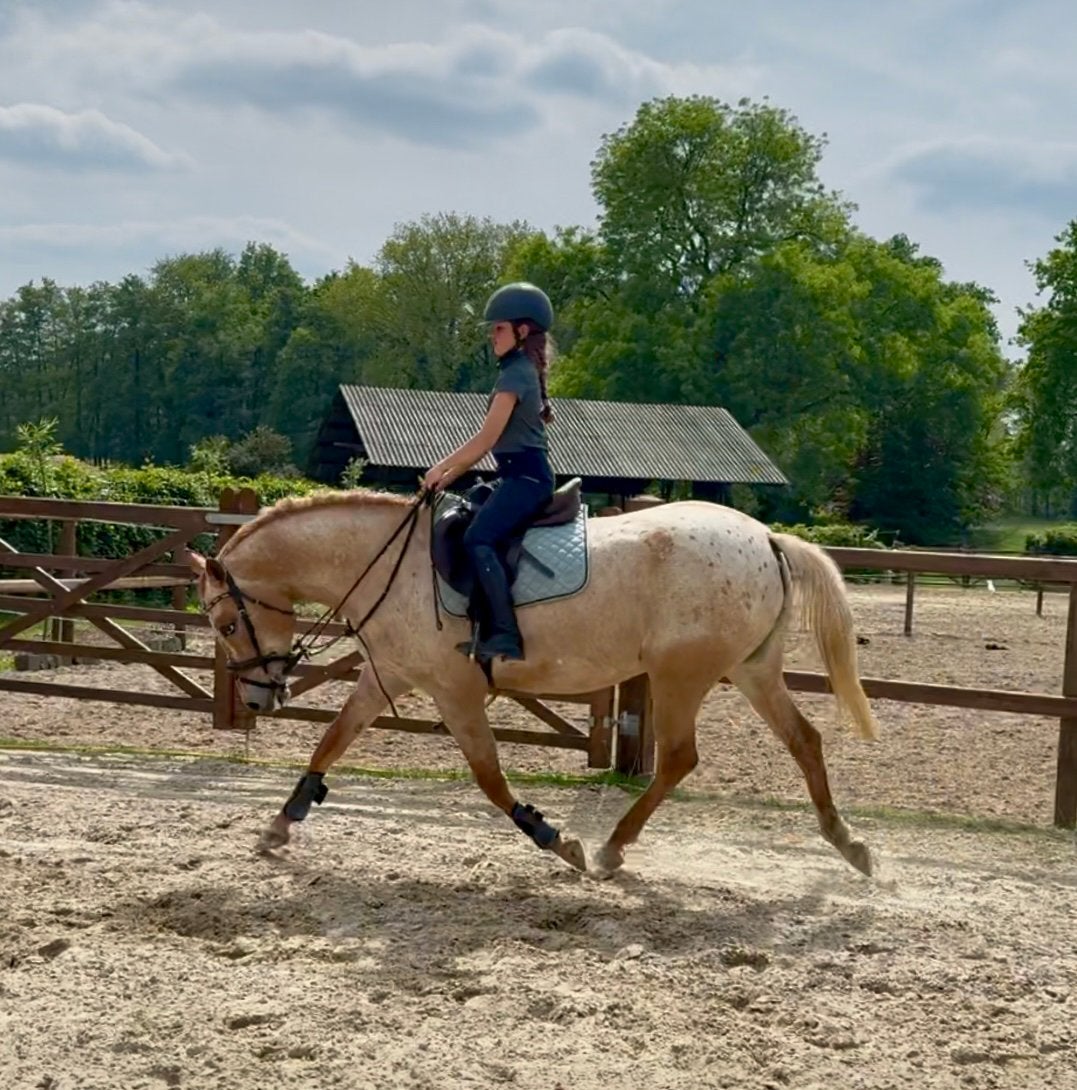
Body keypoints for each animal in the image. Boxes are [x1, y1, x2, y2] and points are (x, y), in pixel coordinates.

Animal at [187, 488, 879, 877]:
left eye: (225, 623)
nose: (259, 696)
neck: (385, 564)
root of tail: (764, 537)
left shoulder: (456, 693)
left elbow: (490, 779)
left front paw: (555, 839)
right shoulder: (388, 679)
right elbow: (330, 742)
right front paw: (281, 823)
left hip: (680, 675)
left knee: (680, 758)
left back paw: (610, 850)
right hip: (749, 669)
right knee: (805, 741)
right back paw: (849, 846)